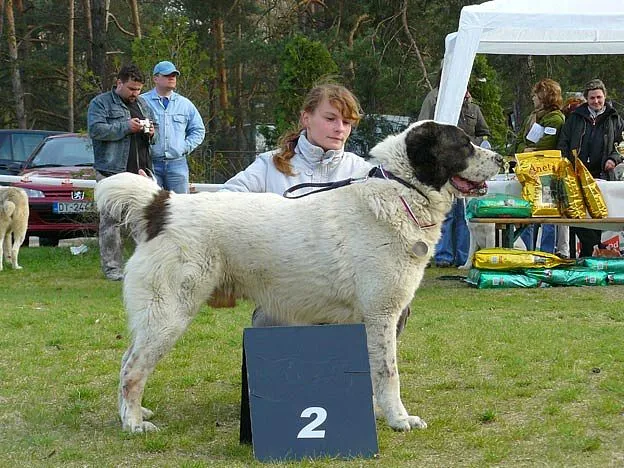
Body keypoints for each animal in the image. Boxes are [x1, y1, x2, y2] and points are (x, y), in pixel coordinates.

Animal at [95, 120, 503, 433]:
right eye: (462, 144)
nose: (502, 158)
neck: (400, 191)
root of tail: (163, 206)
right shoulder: (381, 315)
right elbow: (389, 373)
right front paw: (399, 420)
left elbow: (375, 372)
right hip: (169, 315)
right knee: (132, 369)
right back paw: (134, 424)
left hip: (158, 316)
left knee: (126, 360)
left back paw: (134, 412)